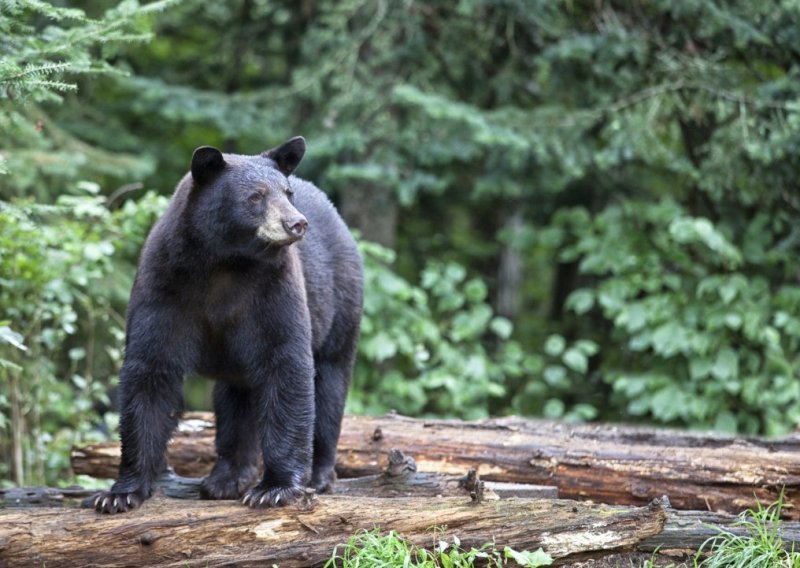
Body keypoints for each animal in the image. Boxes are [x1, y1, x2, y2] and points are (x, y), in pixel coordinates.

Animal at [93, 135, 362, 512]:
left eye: (287, 192)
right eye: (256, 196)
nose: (297, 223)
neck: (226, 262)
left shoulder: (273, 290)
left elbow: (286, 365)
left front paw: (275, 488)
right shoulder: (164, 286)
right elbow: (150, 371)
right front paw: (120, 493)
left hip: (340, 304)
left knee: (330, 383)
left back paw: (319, 475)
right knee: (236, 400)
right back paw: (226, 478)